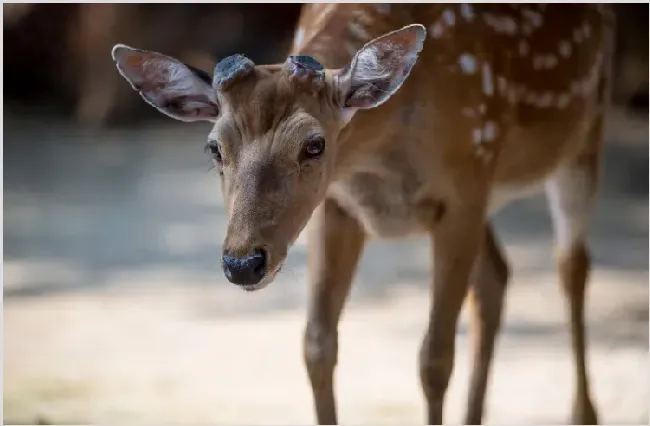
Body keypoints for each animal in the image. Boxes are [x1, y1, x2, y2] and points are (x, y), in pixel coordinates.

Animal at [110, 4, 612, 426]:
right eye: (214, 147)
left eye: (314, 144)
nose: (242, 262)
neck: (378, 156)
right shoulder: (337, 205)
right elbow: (317, 347)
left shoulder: (466, 187)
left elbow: (434, 358)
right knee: (497, 275)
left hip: (581, 137)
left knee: (572, 264)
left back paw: (585, 413)